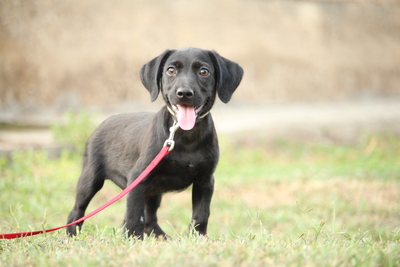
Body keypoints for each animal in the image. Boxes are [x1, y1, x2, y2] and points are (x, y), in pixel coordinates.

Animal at [66, 47, 244, 240]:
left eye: (204, 72)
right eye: (171, 70)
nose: (184, 93)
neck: (185, 137)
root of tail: (102, 124)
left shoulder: (205, 181)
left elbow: (201, 215)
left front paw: (199, 238)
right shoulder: (138, 179)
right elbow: (134, 216)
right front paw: (133, 240)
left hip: (153, 191)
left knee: (150, 219)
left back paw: (162, 238)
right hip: (90, 179)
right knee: (76, 212)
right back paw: (72, 236)